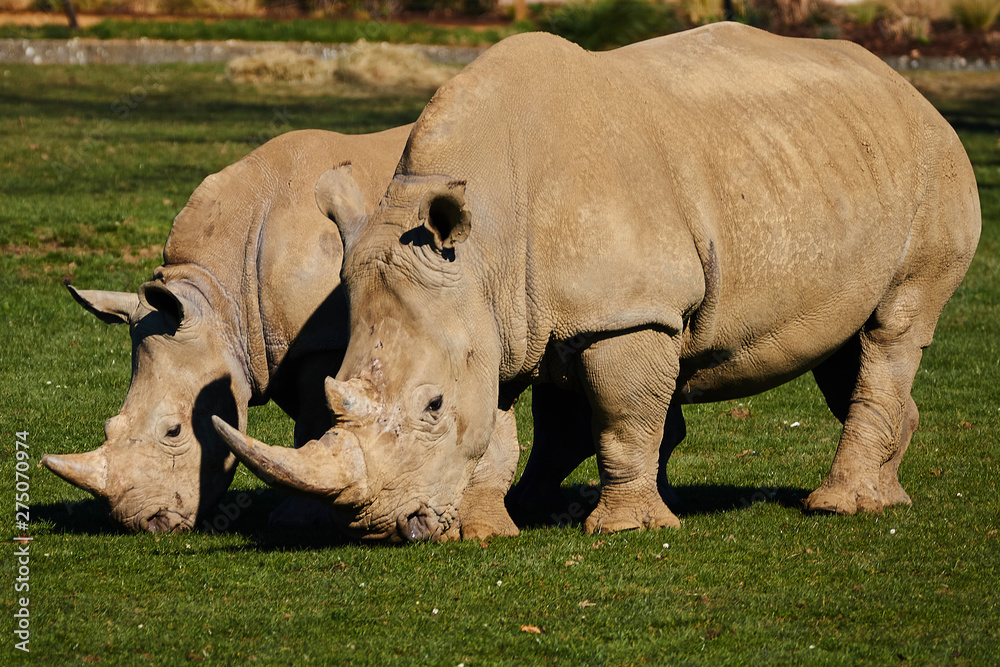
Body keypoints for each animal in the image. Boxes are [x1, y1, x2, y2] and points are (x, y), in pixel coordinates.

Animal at [215, 24, 981, 541]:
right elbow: (495, 423)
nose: (380, 525)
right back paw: (888, 497)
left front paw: (626, 530)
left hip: (936, 167)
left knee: (894, 326)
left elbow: (622, 416)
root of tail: (910, 90)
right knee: (847, 347)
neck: (484, 242)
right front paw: (484, 531)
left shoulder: (629, 310)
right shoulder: (491, 315)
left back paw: (837, 506)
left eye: (431, 405)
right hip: (838, 165)